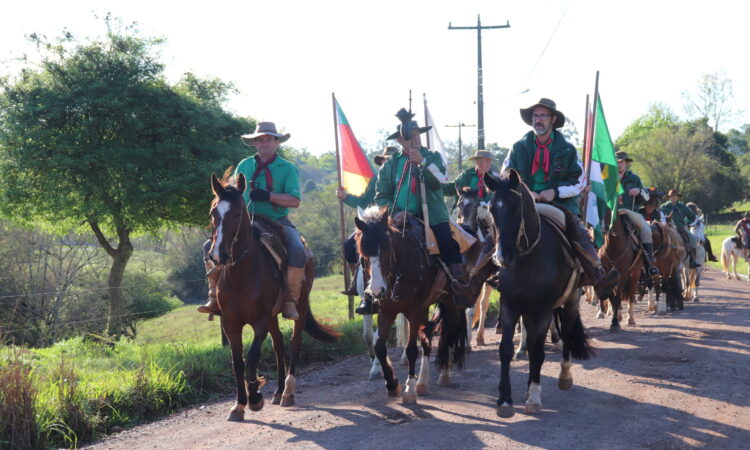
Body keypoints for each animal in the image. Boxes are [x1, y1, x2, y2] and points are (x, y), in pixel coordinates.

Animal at [210, 173, 342, 422]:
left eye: (237, 213)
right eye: (214, 213)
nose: (218, 255)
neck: (241, 273)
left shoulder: (260, 320)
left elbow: (252, 357)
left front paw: (255, 398)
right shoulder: (230, 323)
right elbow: (237, 362)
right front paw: (239, 405)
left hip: (298, 306)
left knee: (294, 341)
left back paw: (288, 391)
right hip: (272, 316)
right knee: (279, 344)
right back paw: (279, 390)